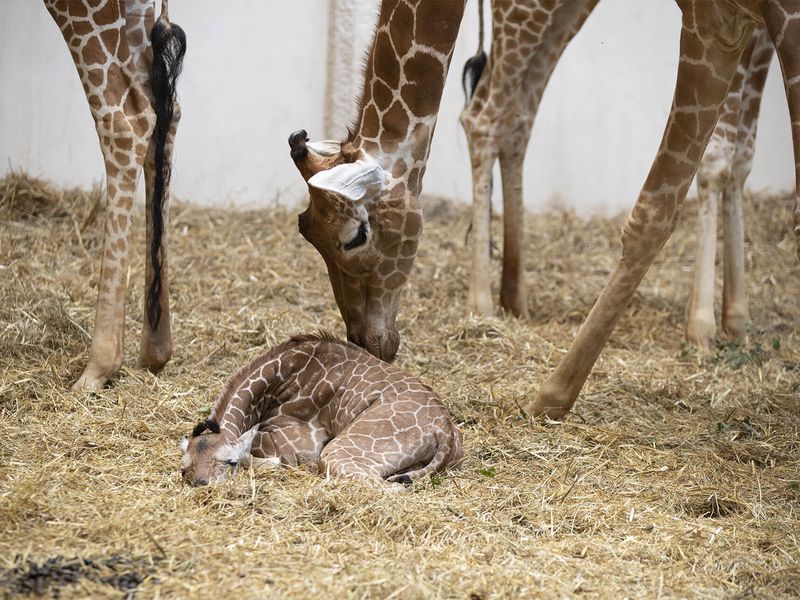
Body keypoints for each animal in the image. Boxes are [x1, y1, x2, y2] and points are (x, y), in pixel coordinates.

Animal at [179, 332, 463, 488]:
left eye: (231, 461)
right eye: (184, 469)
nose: (201, 484)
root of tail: (444, 431)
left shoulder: (301, 446)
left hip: (337, 453)